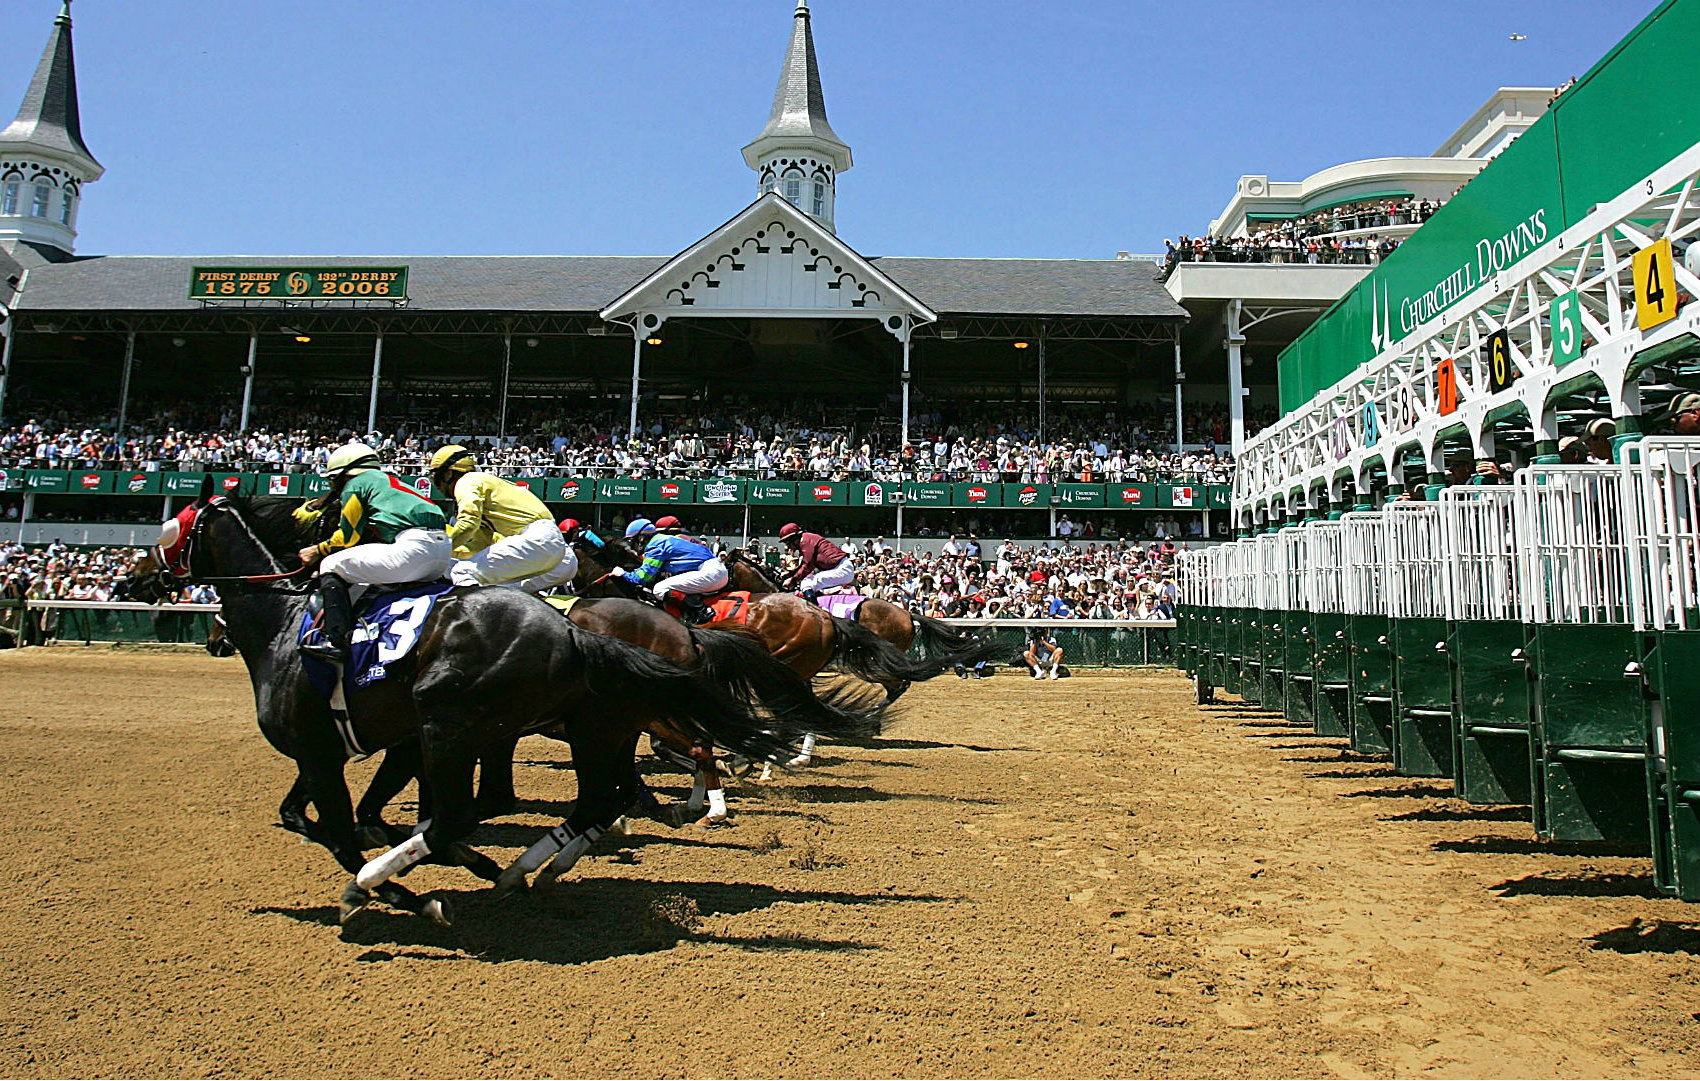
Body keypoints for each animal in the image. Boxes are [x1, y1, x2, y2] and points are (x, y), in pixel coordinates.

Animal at [125, 486, 884, 924]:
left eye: (169, 530)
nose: (137, 578)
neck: (287, 622)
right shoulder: (390, 739)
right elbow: (337, 810)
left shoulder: (367, 738)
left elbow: (353, 818)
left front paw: (394, 875)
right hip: (600, 721)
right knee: (621, 783)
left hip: (571, 718)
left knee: (682, 753)